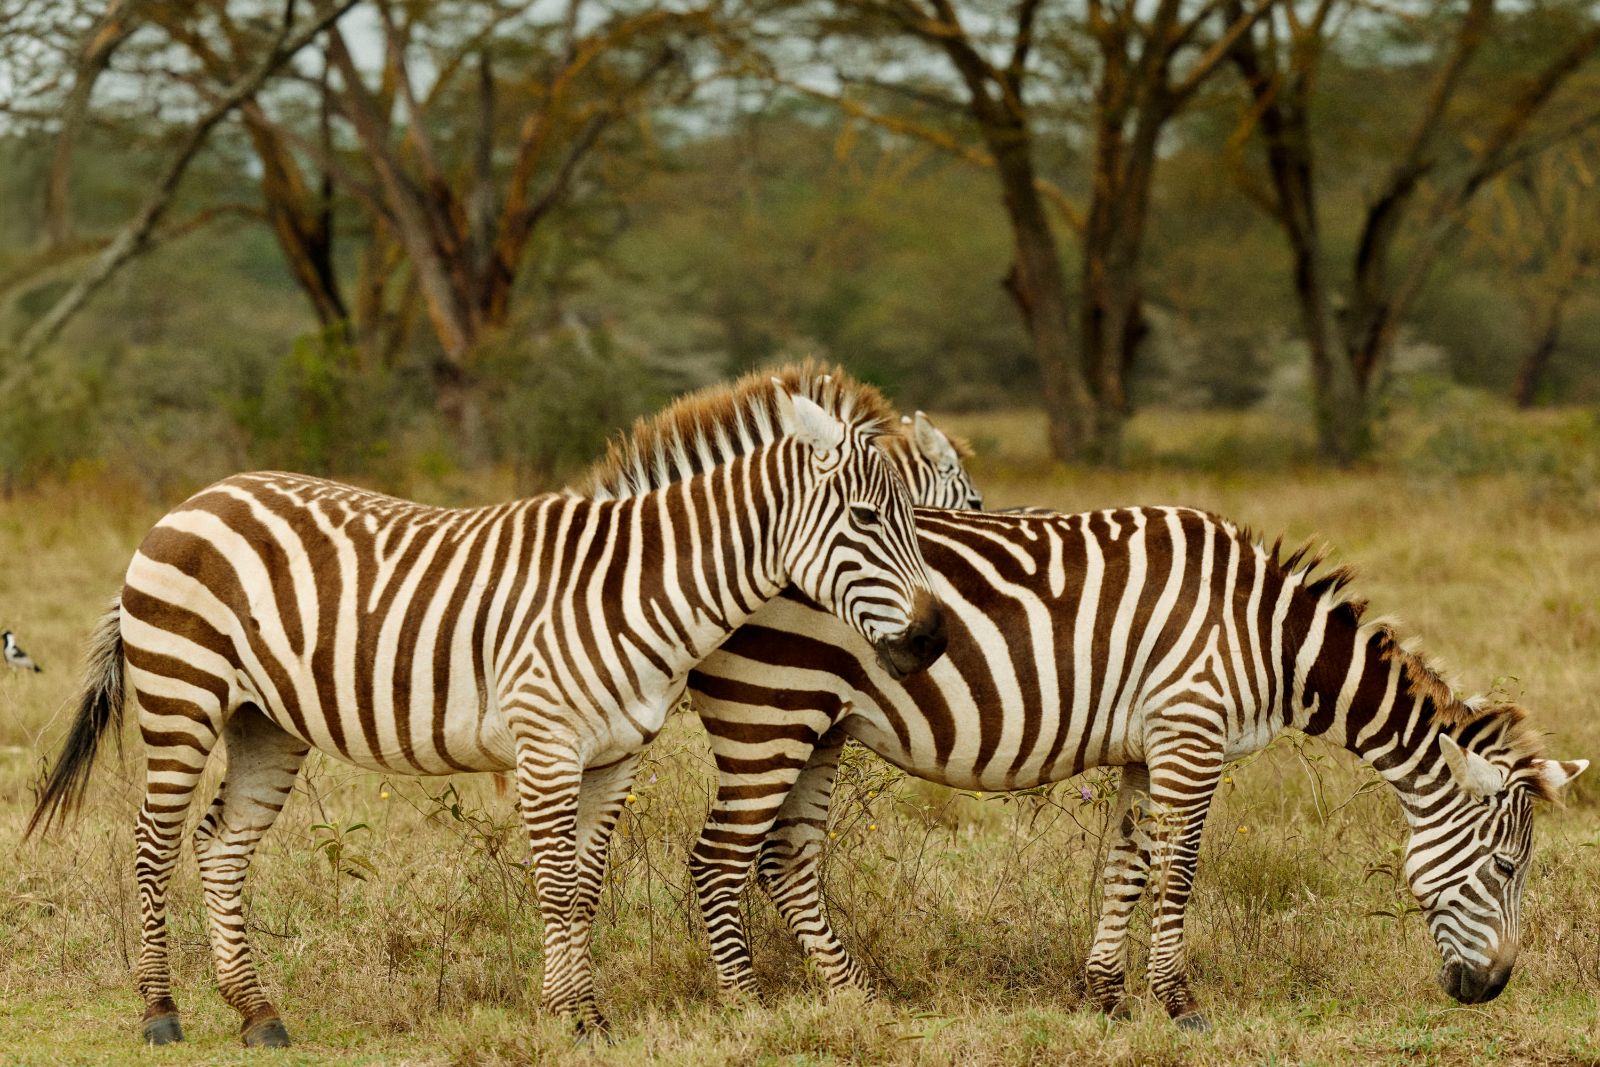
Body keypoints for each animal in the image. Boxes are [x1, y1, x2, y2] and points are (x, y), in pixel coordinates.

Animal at [24, 368, 949, 1047]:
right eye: (868, 515)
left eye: (917, 516)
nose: (934, 637)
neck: (633, 588)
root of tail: (194, 500)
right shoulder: (546, 743)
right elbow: (556, 884)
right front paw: (570, 1016)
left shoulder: (616, 756)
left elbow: (585, 887)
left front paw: (580, 1012)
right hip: (182, 694)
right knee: (153, 843)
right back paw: (160, 1013)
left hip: (266, 721)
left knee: (222, 846)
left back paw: (259, 1013)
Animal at [684, 505, 1588, 1029]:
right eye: (1507, 866)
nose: (1493, 989)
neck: (1269, 638)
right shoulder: (1191, 734)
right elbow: (1179, 868)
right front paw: (1179, 1005)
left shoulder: (1144, 748)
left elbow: (1125, 867)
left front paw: (1104, 998)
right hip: (771, 709)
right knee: (718, 859)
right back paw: (749, 1012)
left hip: (818, 725)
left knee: (784, 860)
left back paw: (855, 998)